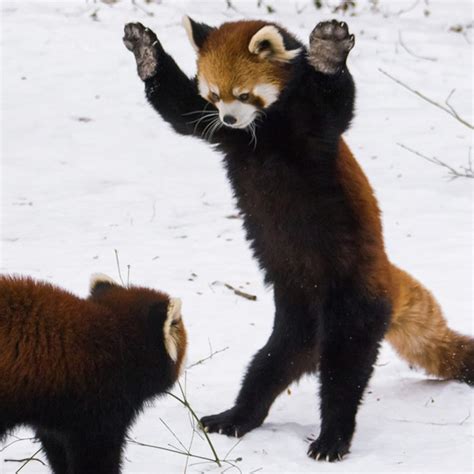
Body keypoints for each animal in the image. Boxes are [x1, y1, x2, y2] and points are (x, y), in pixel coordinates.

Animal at [123, 16, 474, 462]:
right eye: (215, 95)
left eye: (244, 94)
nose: (230, 119)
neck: (262, 132)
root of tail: (388, 277)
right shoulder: (218, 132)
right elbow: (180, 109)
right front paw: (146, 52)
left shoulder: (315, 128)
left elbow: (338, 99)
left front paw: (328, 52)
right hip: (296, 319)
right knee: (269, 366)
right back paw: (236, 417)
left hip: (354, 302)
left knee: (344, 373)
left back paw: (332, 438)